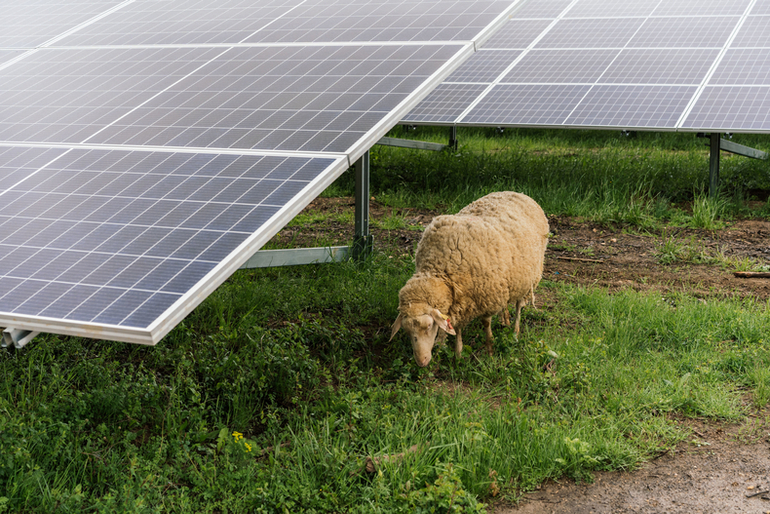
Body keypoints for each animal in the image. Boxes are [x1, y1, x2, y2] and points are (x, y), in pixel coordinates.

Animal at [390, 191, 544, 364]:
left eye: (429, 326)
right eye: (407, 331)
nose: (421, 362)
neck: (439, 270)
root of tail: (518, 193)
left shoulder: (486, 296)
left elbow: (486, 323)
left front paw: (490, 350)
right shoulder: (462, 300)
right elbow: (456, 327)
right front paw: (457, 353)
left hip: (528, 279)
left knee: (518, 306)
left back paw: (515, 332)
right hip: (508, 280)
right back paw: (505, 320)